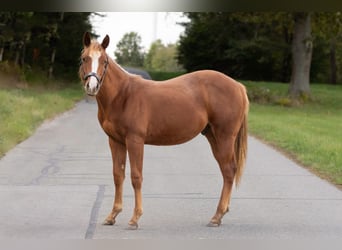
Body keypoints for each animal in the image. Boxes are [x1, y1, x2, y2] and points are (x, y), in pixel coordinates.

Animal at [79, 32, 250, 229]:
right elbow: (118, 175)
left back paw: (217, 216)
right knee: (226, 170)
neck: (123, 95)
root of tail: (238, 86)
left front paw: (135, 218)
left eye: (104, 60)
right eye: (84, 58)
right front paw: (112, 215)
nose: (92, 86)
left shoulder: (135, 140)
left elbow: (136, 177)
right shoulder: (115, 141)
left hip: (225, 137)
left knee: (229, 171)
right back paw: (220, 214)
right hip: (213, 136)